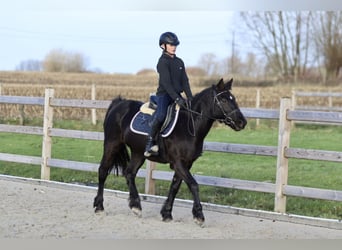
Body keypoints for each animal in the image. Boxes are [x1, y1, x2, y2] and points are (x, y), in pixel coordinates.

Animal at [93, 78, 246, 227]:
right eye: (223, 100)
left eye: (234, 98)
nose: (242, 122)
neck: (189, 125)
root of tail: (119, 103)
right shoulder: (178, 162)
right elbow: (193, 185)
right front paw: (199, 216)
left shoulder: (186, 163)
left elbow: (175, 187)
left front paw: (166, 214)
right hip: (112, 144)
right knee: (103, 171)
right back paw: (99, 207)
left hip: (138, 152)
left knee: (130, 173)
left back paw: (136, 206)